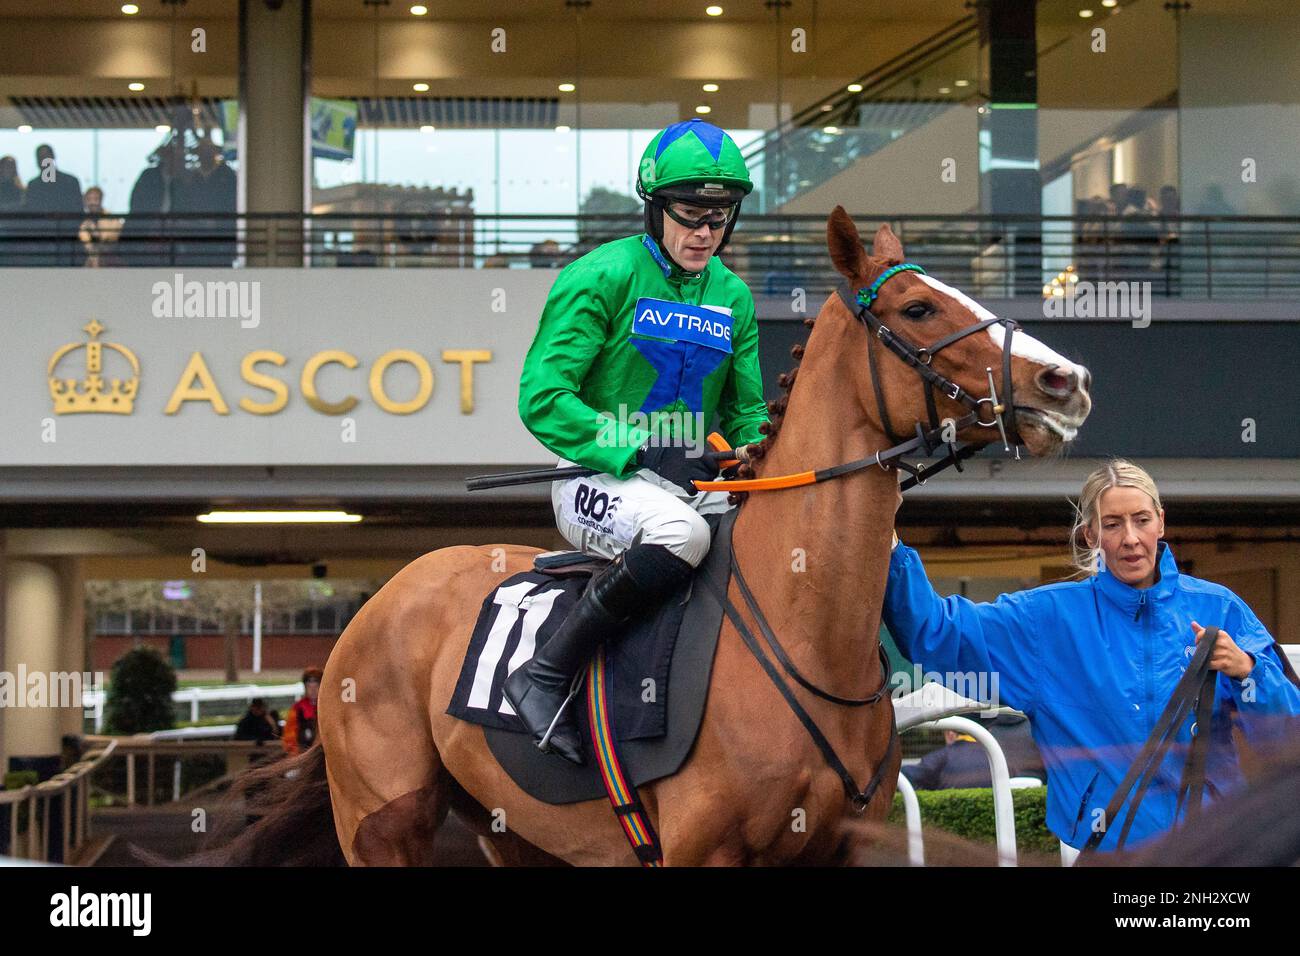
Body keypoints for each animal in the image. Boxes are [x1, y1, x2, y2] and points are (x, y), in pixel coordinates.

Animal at [231, 209, 1086, 868]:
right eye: (917, 309)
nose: (1066, 383)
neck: (802, 625)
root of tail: (380, 604)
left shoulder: (839, 848)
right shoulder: (703, 853)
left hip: (513, 830)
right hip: (385, 822)